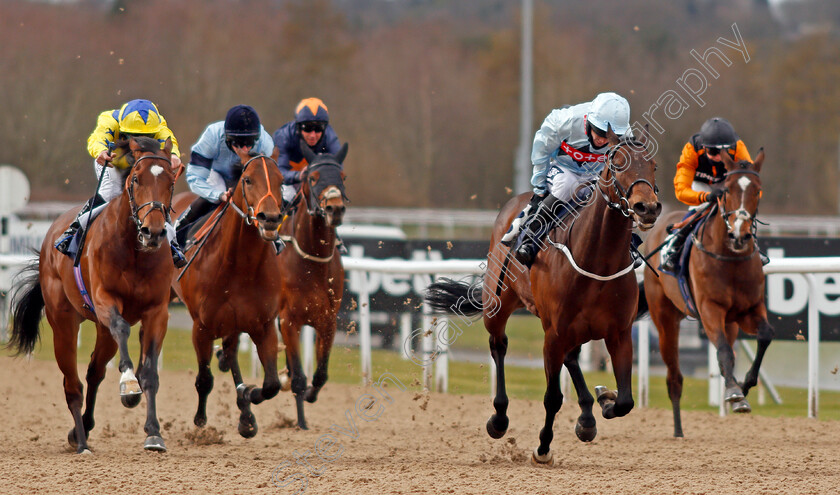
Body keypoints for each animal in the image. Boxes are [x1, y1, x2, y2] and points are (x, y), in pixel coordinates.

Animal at [7, 138, 179, 456]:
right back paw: (82, 442)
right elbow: (122, 329)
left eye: (171, 182)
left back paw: (82, 429)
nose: (153, 232)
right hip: (63, 322)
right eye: (136, 179)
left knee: (94, 372)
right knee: (72, 384)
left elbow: (150, 372)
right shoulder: (104, 300)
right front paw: (128, 384)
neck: (135, 251)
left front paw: (154, 433)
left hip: (101, 330)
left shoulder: (157, 311)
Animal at [171, 147, 288, 438]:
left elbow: (271, 385)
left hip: (233, 323)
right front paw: (200, 420)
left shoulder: (263, 325)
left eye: (281, 181)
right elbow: (204, 379)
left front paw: (247, 396)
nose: (270, 218)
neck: (239, 267)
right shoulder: (201, 327)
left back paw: (245, 414)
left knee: (231, 353)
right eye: (247, 180)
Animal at [426, 129, 664, 464]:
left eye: (653, 165)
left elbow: (625, 401)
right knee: (499, 346)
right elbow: (553, 397)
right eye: (617, 164)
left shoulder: (618, 332)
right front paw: (542, 448)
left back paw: (587, 417)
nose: (648, 208)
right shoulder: (554, 333)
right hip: (497, 304)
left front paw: (603, 400)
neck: (597, 260)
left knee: (571, 358)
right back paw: (499, 418)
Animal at [644, 149, 768, 436]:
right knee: (674, 377)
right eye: (726, 190)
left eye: (757, 190)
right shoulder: (710, 309)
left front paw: (743, 386)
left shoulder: (750, 309)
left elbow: (764, 336)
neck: (730, 258)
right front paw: (735, 393)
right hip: (665, 319)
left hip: (730, 322)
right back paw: (678, 430)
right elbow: (722, 350)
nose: (740, 236)